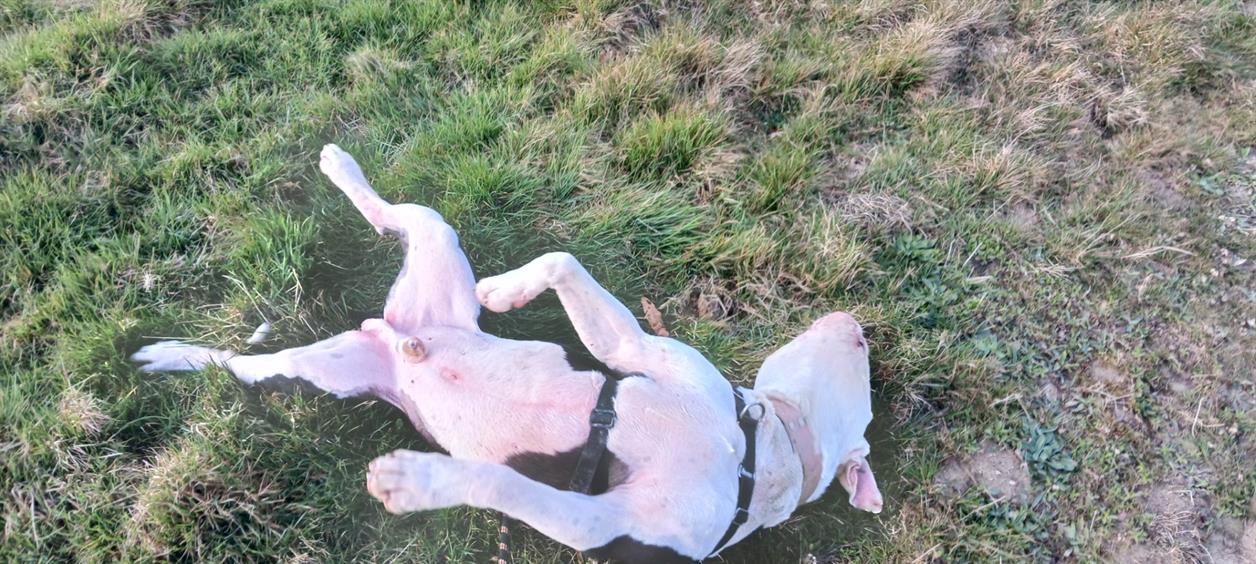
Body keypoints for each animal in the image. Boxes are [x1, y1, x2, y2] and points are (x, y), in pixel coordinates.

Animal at [131, 144, 882, 562]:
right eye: (864, 359)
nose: (857, 324)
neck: (756, 451)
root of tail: (397, 334)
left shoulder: (596, 524)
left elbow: (501, 483)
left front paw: (419, 482)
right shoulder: (644, 349)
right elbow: (564, 262)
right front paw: (505, 290)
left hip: (314, 375)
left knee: (238, 366)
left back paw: (166, 355)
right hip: (433, 243)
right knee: (392, 214)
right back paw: (340, 167)